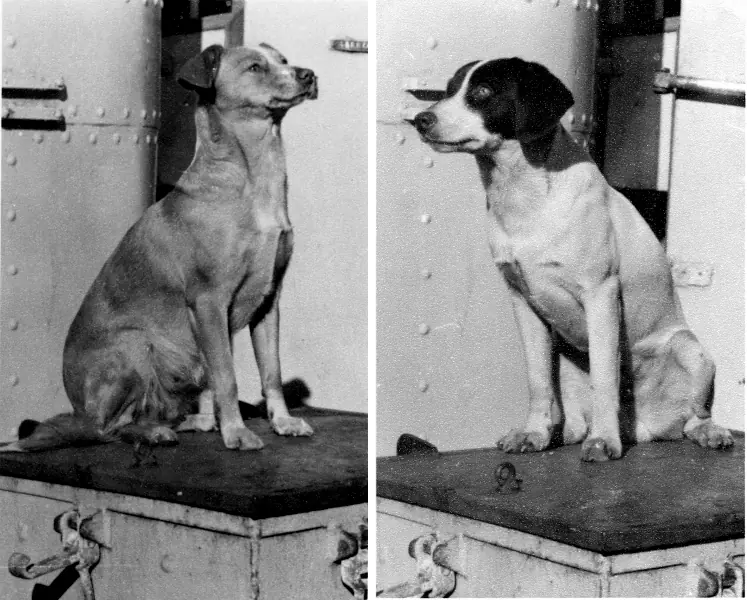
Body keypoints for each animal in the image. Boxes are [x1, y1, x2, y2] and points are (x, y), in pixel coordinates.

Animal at [0, 44, 316, 452]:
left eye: (283, 60)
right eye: (254, 67)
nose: (309, 75)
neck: (252, 177)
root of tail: (78, 410)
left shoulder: (268, 301)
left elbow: (271, 372)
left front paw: (282, 422)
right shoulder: (208, 301)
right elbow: (227, 377)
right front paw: (236, 431)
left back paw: (191, 421)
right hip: (135, 346)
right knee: (106, 429)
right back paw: (154, 432)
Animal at [410, 57, 732, 460]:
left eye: (483, 91)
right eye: (450, 88)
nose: (419, 119)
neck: (525, 195)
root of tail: (642, 427)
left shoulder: (600, 294)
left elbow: (606, 377)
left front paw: (604, 440)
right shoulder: (523, 302)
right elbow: (537, 382)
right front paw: (532, 433)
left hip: (691, 350)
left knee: (694, 415)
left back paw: (708, 432)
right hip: (566, 364)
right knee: (576, 419)